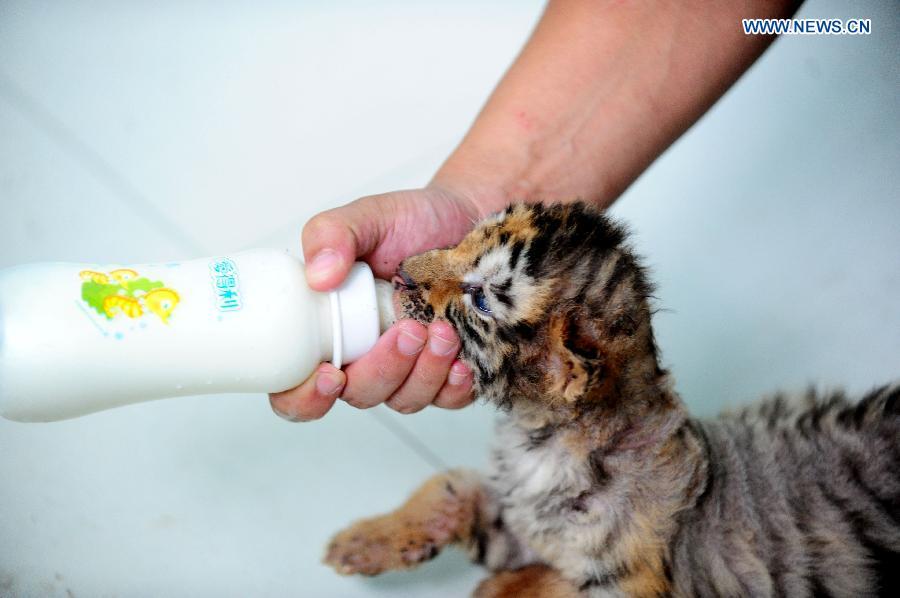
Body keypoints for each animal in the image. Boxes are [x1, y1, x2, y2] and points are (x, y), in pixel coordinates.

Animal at [323, 202, 900, 597]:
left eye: (480, 299)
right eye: (463, 240)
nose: (400, 272)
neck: (543, 437)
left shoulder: (628, 584)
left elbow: (548, 586)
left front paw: (496, 589)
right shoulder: (520, 512)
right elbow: (446, 489)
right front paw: (358, 543)